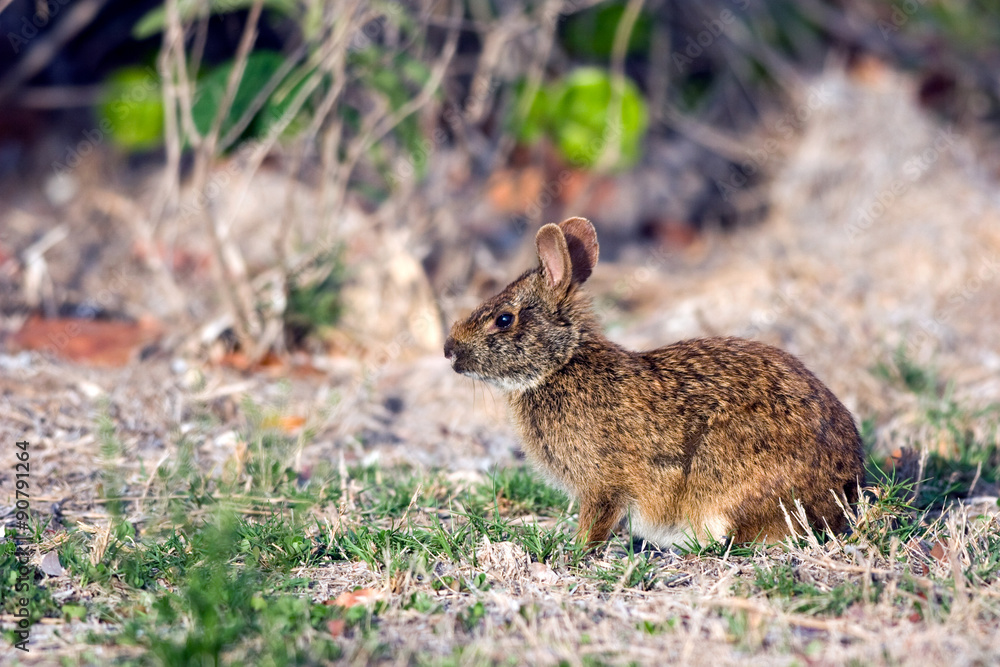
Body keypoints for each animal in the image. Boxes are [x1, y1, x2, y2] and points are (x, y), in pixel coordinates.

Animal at [444, 217, 865, 548]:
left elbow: (596, 521)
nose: (449, 350)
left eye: (503, 320)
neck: (561, 363)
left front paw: (575, 552)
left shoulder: (602, 484)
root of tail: (845, 487)